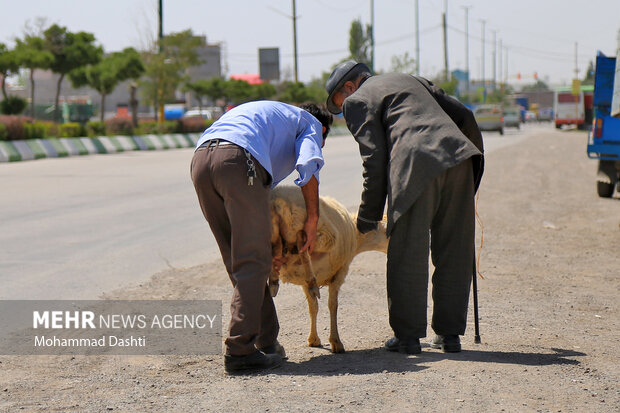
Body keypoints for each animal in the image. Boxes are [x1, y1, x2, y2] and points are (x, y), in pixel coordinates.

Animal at [268, 185, 388, 352]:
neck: (357, 236)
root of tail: (277, 200)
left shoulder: (303, 283)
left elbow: (313, 307)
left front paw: (313, 339)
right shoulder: (340, 272)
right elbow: (333, 306)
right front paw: (336, 342)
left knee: (278, 243)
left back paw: (275, 275)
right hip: (321, 233)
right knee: (303, 239)